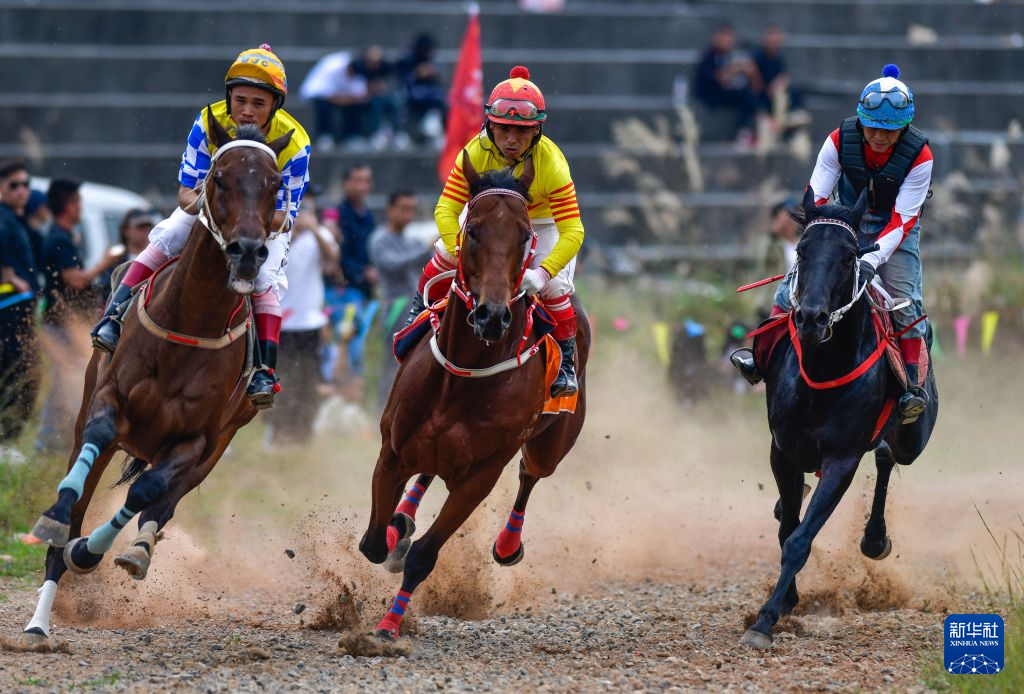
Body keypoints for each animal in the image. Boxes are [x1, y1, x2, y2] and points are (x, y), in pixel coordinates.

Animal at [12, 111, 293, 649]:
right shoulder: (108, 399)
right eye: (219, 177)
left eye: (274, 185)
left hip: (217, 446)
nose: (248, 251)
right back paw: (38, 621)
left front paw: (99, 550)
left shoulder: (197, 438)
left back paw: (138, 547)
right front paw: (59, 529)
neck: (190, 322)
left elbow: (147, 493)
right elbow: (92, 455)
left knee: (161, 506)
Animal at [358, 152, 591, 640]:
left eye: (524, 235)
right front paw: (393, 532)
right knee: (427, 474)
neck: (462, 377)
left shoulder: (479, 477)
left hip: (552, 442)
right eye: (475, 229)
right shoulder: (392, 450)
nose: (491, 315)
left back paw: (507, 544)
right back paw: (403, 519)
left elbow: (424, 556)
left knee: (530, 474)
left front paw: (388, 626)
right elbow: (373, 543)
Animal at [740, 188, 938, 650]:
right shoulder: (783, 450)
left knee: (888, 456)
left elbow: (799, 540)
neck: (824, 367)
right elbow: (788, 529)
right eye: (802, 250)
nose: (811, 318)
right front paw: (784, 600)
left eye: (850, 258)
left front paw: (765, 621)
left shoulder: (842, 460)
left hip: (913, 437)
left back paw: (875, 538)